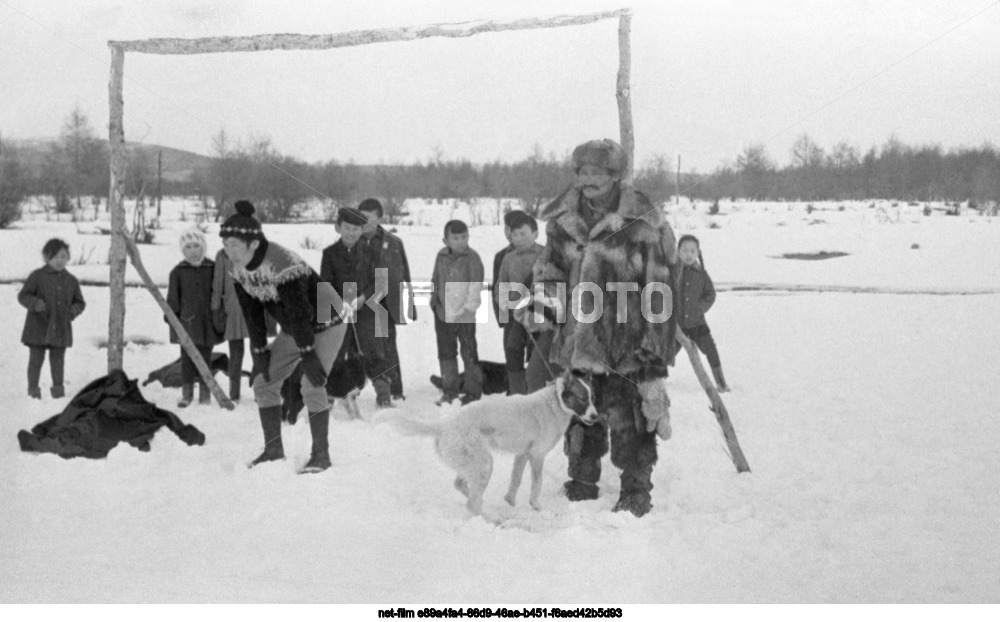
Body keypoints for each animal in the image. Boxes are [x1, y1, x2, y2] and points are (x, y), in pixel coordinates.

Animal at [378, 376, 596, 516]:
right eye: (583, 399)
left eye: (593, 398)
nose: (596, 416)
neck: (554, 403)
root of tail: (444, 424)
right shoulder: (537, 455)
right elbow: (537, 484)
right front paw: (536, 506)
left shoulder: (522, 454)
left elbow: (515, 480)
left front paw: (510, 501)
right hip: (484, 464)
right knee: (470, 505)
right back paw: (489, 520)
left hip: (472, 464)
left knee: (462, 487)